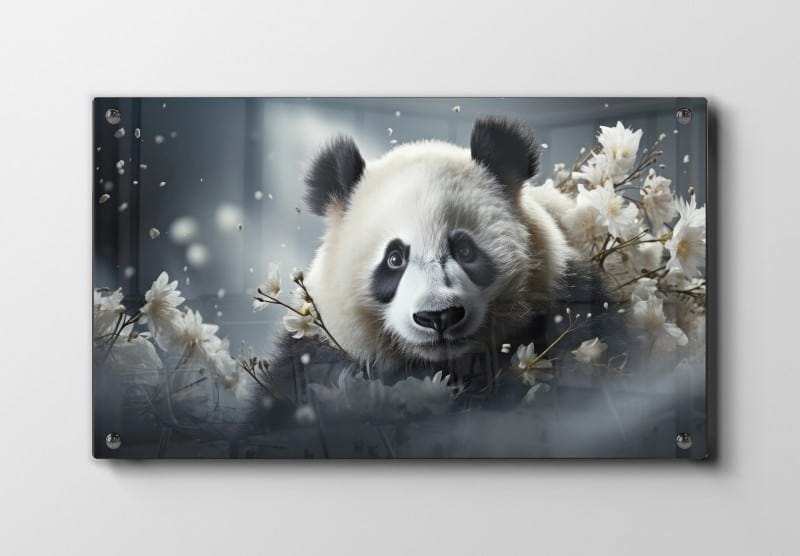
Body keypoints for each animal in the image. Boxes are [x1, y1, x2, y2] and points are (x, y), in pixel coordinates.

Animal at [247, 116, 616, 424]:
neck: (441, 366)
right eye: (394, 259)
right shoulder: (316, 347)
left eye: (465, 250)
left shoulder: (565, 297)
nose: (438, 316)